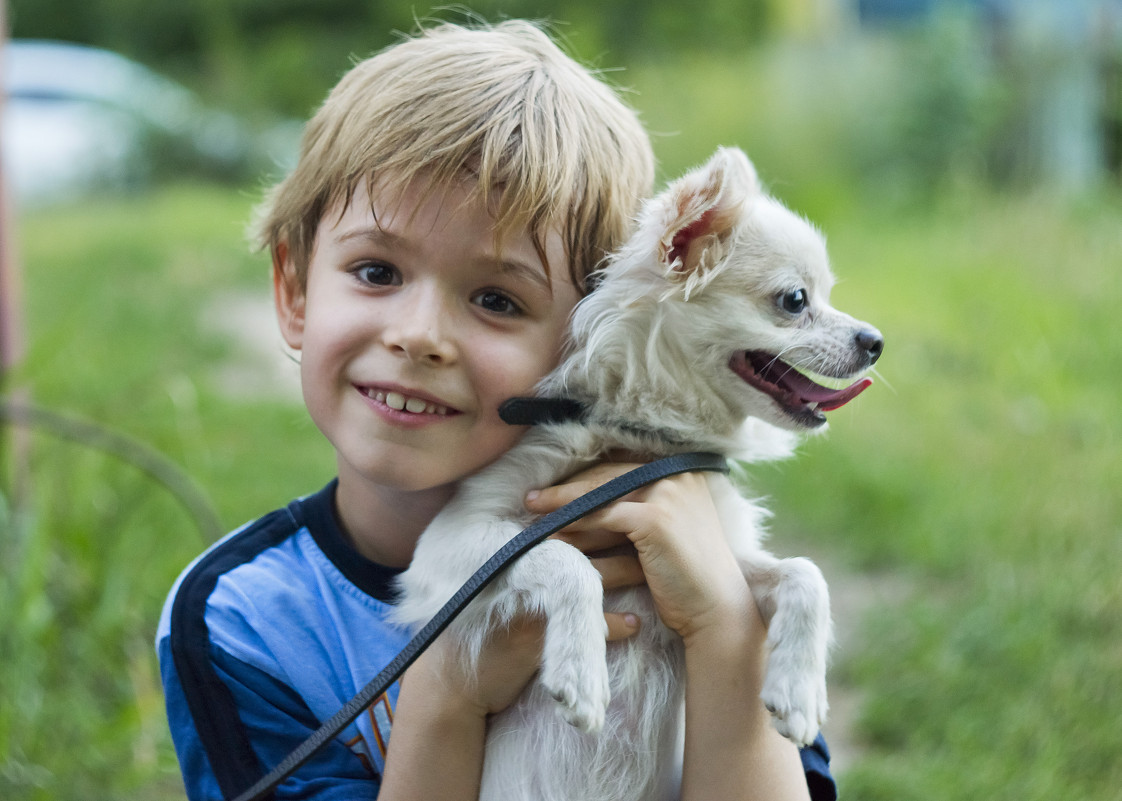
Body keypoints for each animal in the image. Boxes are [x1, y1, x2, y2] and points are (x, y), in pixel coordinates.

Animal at [394, 148, 884, 798]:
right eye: (795, 300)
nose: (876, 341)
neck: (645, 438)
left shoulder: (722, 559)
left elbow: (806, 572)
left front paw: (799, 692)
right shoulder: (449, 543)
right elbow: (564, 558)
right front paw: (581, 671)